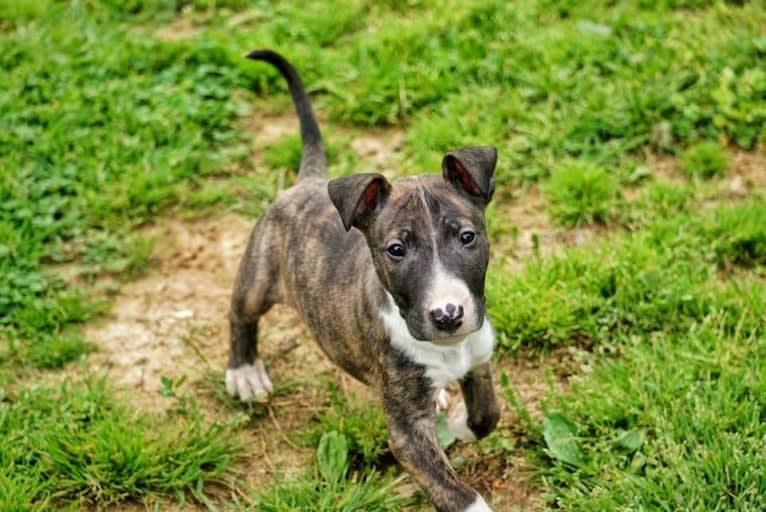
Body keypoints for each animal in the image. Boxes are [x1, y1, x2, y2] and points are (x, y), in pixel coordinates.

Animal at [226, 49, 504, 512]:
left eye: (467, 237)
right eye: (396, 249)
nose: (448, 314)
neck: (448, 349)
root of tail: (308, 183)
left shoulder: (479, 356)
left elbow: (488, 415)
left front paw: (462, 422)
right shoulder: (407, 433)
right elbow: (455, 493)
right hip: (259, 275)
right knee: (240, 315)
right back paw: (244, 372)